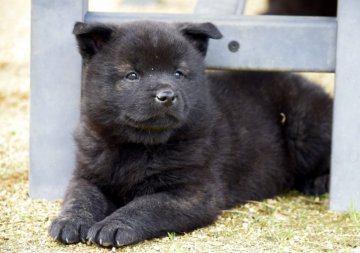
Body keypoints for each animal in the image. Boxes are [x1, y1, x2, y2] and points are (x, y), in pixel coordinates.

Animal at [47, 21, 332, 247]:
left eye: (178, 73)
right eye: (132, 75)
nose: (167, 95)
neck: (138, 145)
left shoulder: (192, 192)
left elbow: (147, 205)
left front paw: (115, 225)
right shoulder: (88, 174)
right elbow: (81, 197)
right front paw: (70, 221)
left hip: (304, 130)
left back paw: (319, 182)